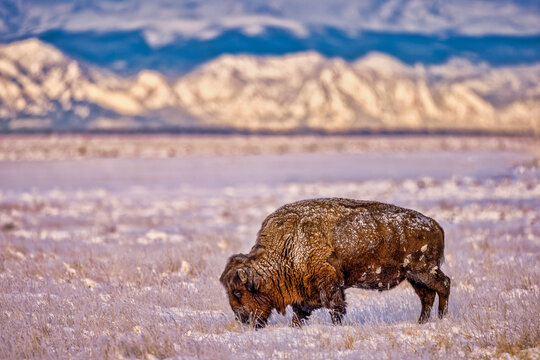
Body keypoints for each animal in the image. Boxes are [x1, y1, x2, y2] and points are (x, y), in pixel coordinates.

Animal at [219, 198, 452, 328]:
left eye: (238, 292)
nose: (242, 319)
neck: (287, 244)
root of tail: (435, 225)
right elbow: (300, 312)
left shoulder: (329, 283)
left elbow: (335, 308)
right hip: (413, 277)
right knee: (427, 296)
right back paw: (422, 322)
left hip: (423, 271)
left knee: (444, 285)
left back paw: (441, 318)